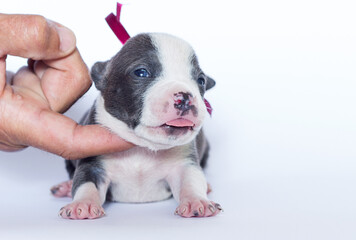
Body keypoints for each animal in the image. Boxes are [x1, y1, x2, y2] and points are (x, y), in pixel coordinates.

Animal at [51, 33, 221, 219]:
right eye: (141, 72)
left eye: (201, 80)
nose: (184, 97)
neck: (142, 148)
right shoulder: (93, 164)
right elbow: (86, 183)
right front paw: (83, 204)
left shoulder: (184, 163)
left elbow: (191, 180)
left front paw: (197, 201)